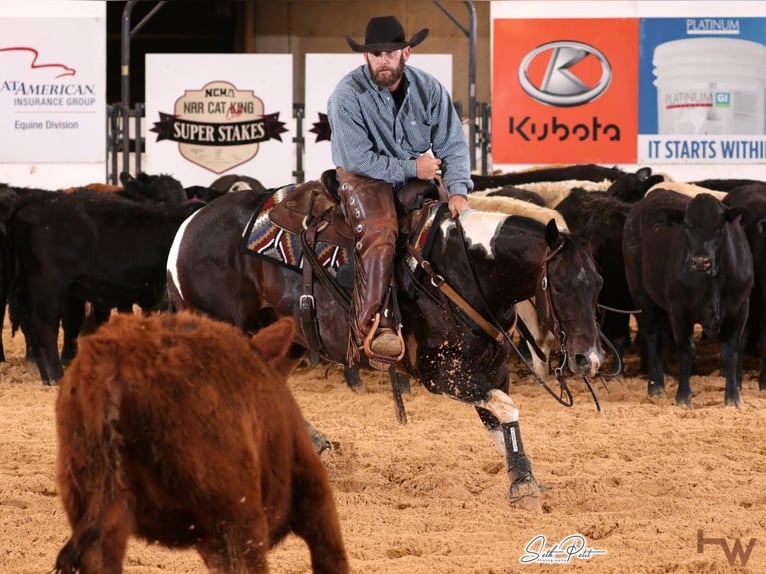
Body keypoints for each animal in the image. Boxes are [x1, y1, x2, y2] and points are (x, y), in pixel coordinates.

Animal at [166, 177, 605, 508]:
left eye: (598, 283)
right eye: (560, 286)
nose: (590, 359)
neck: (463, 271)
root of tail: (186, 228)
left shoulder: (490, 370)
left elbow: (501, 420)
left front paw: (523, 479)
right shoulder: (443, 374)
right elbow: (506, 407)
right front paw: (523, 482)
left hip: (287, 335)